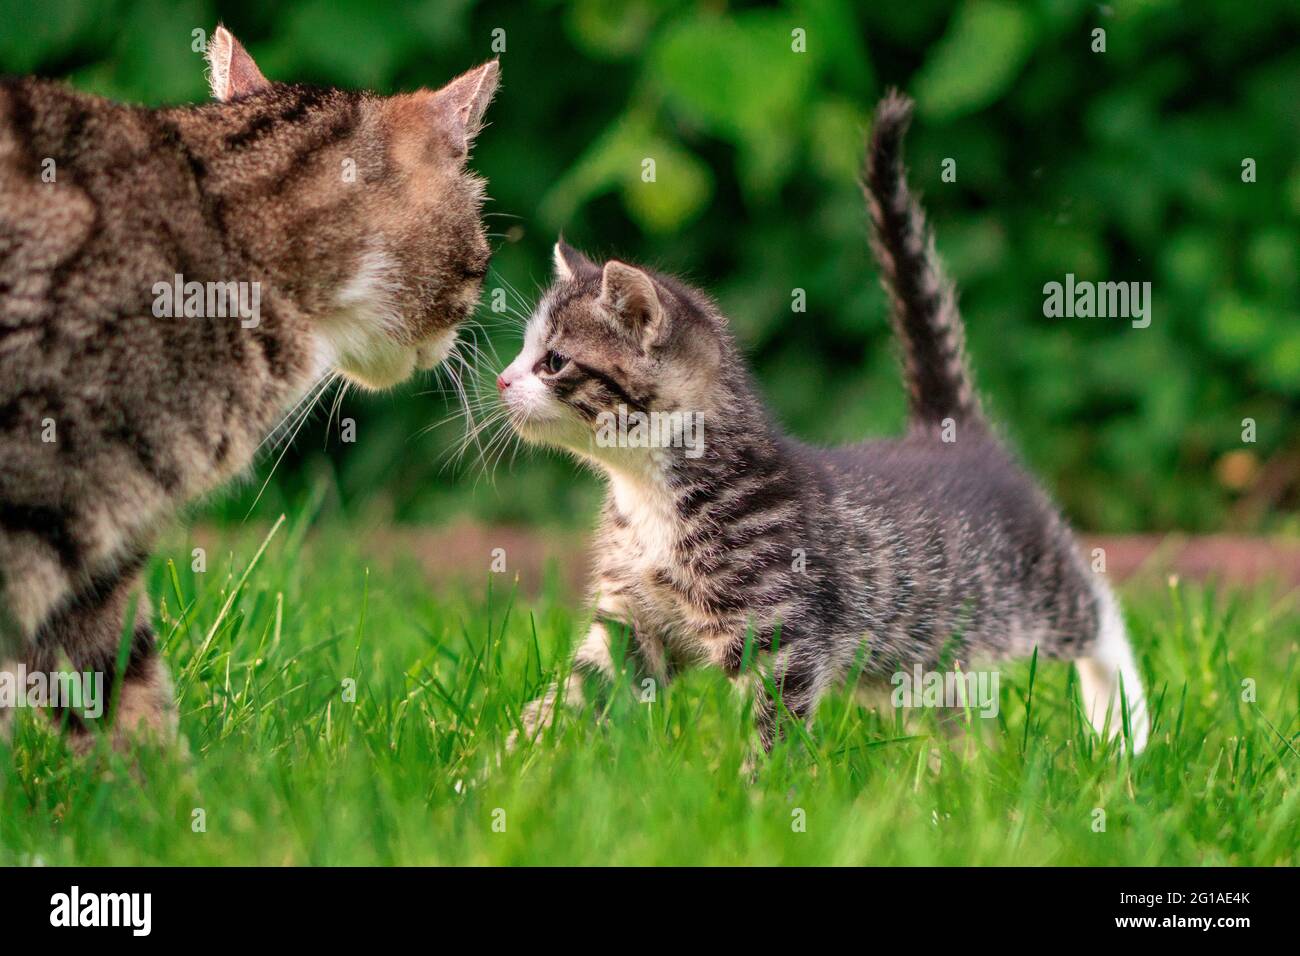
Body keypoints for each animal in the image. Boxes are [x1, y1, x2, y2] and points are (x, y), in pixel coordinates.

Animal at [496, 93, 1149, 759]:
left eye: (553, 361)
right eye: (524, 353)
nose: (500, 380)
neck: (648, 492)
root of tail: (953, 431)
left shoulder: (781, 636)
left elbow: (774, 728)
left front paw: (762, 786)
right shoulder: (631, 623)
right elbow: (574, 697)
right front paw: (508, 763)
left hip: (1033, 588)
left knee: (1101, 617)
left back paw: (1124, 728)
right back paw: (958, 769)